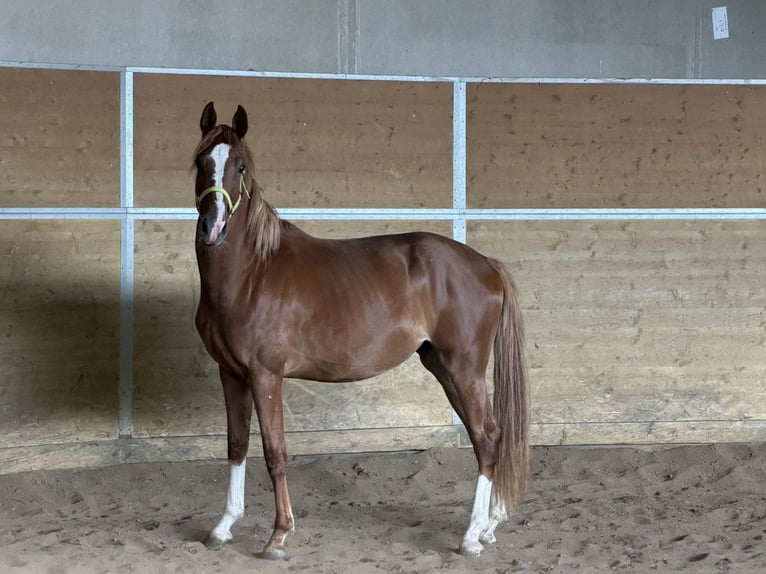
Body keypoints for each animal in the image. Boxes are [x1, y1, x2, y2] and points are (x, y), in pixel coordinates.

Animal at [192, 102, 529, 559]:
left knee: (489, 436)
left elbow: (274, 452)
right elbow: (236, 446)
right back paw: (489, 526)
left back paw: (472, 535)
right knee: (484, 439)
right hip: (443, 367)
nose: (213, 227)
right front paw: (224, 526)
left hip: (466, 368)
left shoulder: (265, 375)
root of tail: (485, 264)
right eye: (201, 162)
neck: (251, 273)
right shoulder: (231, 373)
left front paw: (278, 535)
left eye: (240, 166)